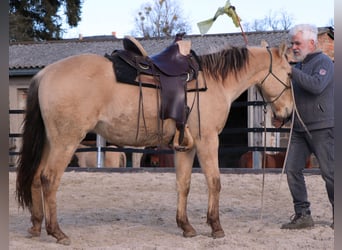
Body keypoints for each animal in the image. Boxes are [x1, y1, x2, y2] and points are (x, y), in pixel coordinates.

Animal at [16, 38, 292, 245]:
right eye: (289, 73)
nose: (287, 114)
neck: (214, 82)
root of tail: (45, 73)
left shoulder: (186, 147)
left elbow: (183, 184)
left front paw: (186, 226)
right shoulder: (207, 141)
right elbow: (214, 182)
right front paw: (215, 227)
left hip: (51, 142)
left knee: (36, 177)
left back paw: (36, 226)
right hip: (66, 141)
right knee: (49, 179)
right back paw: (57, 232)